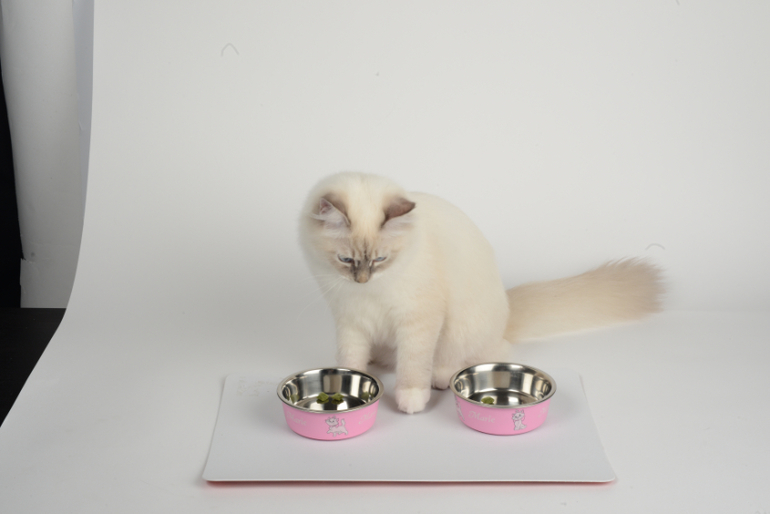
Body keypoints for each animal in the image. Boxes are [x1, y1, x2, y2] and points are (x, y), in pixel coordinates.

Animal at [299, 172, 664, 414]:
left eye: (380, 259)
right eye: (346, 260)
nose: (361, 280)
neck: (372, 292)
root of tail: (508, 312)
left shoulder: (418, 320)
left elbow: (413, 363)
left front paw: (411, 398)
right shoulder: (350, 319)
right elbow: (350, 360)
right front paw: (353, 380)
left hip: (460, 332)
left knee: (460, 358)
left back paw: (439, 378)